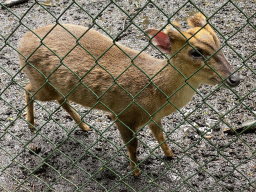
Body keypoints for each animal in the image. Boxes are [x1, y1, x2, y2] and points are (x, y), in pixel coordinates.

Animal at [18, 12, 240, 177]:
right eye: (195, 52)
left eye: (219, 43)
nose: (234, 79)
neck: (157, 91)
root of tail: (21, 42)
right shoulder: (123, 114)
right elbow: (133, 145)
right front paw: (136, 173)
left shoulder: (153, 118)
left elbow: (161, 136)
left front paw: (170, 155)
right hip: (42, 82)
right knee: (27, 90)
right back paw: (32, 125)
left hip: (57, 86)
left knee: (60, 98)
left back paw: (84, 125)